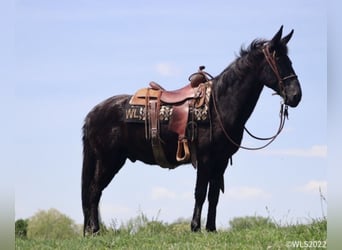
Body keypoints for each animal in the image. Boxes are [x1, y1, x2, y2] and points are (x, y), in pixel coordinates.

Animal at [82, 25, 302, 234]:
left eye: (289, 60)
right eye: (278, 60)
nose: (296, 96)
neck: (218, 105)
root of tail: (93, 113)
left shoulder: (220, 161)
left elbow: (213, 195)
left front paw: (211, 228)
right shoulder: (205, 158)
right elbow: (200, 193)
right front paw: (195, 227)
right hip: (108, 160)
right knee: (94, 191)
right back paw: (95, 230)